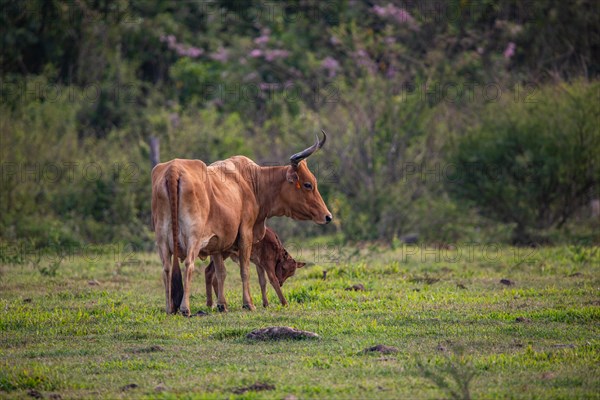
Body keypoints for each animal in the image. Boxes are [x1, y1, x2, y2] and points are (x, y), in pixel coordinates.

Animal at [149, 133, 328, 314]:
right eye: (308, 184)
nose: (327, 216)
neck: (252, 181)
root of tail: (173, 170)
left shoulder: (217, 242)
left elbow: (221, 273)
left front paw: (222, 304)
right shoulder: (245, 235)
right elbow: (245, 270)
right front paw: (248, 303)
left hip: (162, 240)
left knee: (166, 268)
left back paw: (169, 307)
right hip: (193, 238)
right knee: (189, 265)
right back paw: (185, 308)